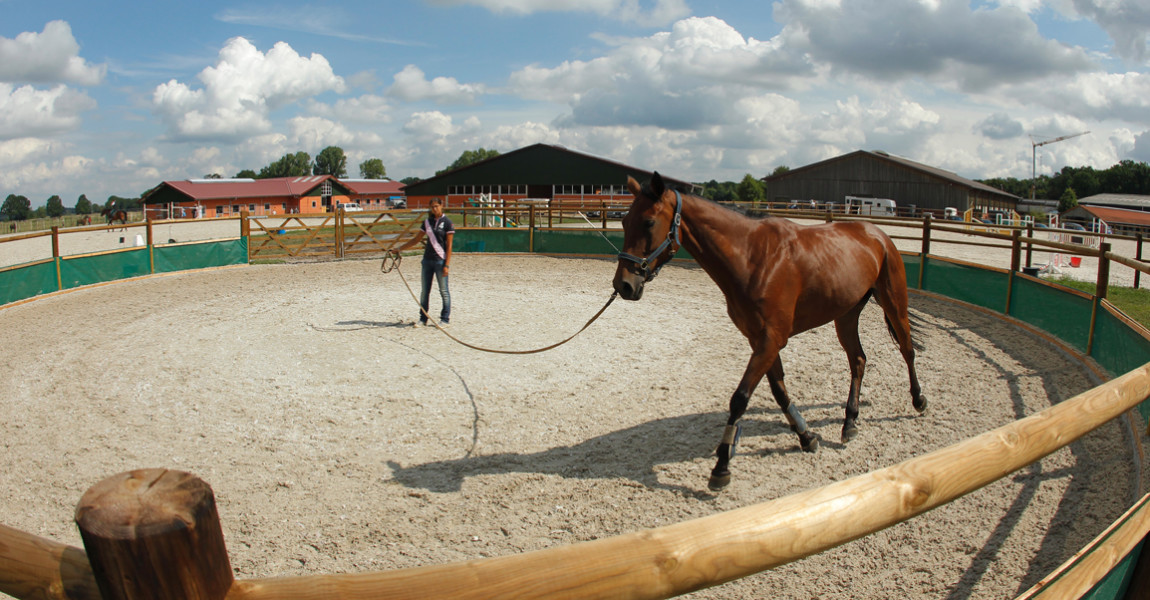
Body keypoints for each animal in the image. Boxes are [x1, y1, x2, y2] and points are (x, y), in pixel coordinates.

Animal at [611, 170, 924, 487]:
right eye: (624, 222)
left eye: (649, 222)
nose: (624, 285)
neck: (754, 257)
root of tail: (878, 234)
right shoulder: (759, 340)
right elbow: (778, 390)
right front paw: (806, 437)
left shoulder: (771, 340)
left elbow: (740, 398)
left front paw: (721, 466)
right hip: (846, 316)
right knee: (858, 360)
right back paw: (849, 422)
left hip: (894, 303)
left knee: (907, 350)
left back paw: (918, 400)